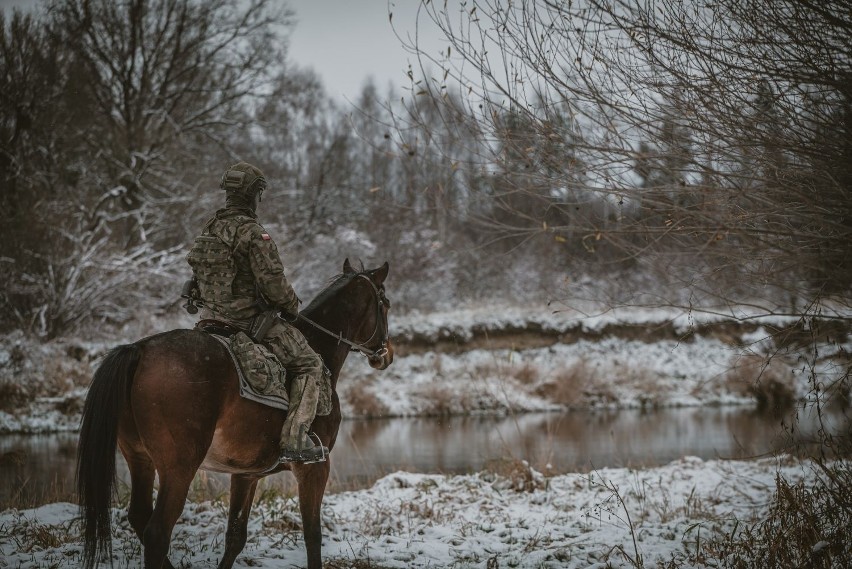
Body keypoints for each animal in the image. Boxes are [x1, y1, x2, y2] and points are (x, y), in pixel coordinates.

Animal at [75, 258, 394, 568]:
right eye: (385, 304)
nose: (387, 354)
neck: (319, 349)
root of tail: (139, 349)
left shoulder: (245, 475)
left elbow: (235, 536)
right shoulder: (315, 467)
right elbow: (312, 536)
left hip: (139, 458)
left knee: (140, 517)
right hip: (179, 467)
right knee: (157, 532)